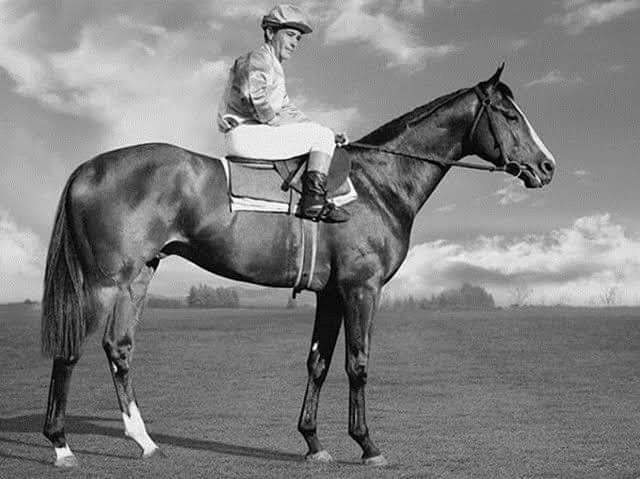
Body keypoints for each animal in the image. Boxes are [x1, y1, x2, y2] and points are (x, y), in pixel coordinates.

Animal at [40, 65, 555, 467]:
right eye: (510, 115)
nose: (547, 166)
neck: (378, 183)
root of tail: (88, 167)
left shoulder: (330, 294)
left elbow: (319, 363)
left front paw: (312, 441)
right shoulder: (361, 289)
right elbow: (357, 363)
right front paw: (367, 445)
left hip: (139, 277)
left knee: (118, 347)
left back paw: (144, 441)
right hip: (104, 281)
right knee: (70, 350)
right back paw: (61, 445)